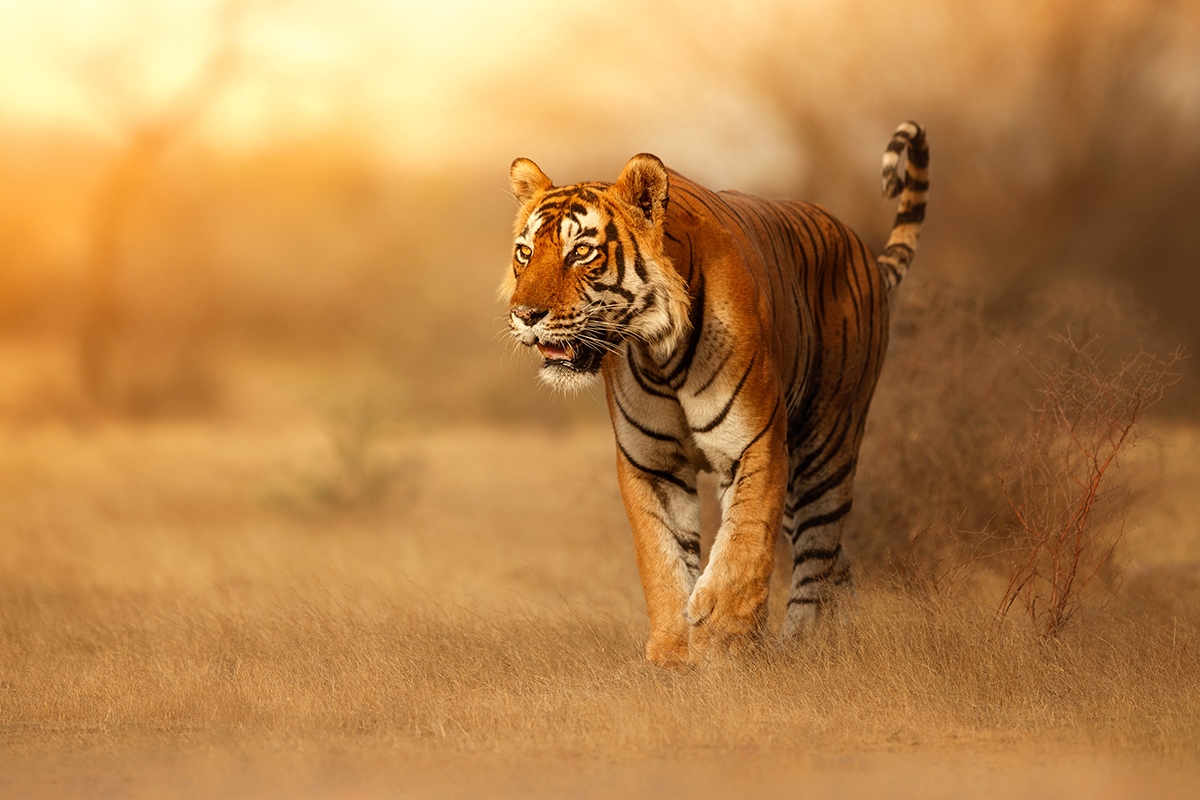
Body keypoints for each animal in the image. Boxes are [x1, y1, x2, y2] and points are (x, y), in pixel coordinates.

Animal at [496, 122, 926, 666]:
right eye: (525, 253)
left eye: (581, 252)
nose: (524, 315)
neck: (660, 352)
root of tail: (861, 249)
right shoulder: (651, 463)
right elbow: (662, 559)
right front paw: (672, 654)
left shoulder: (755, 444)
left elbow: (742, 547)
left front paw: (722, 645)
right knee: (835, 562)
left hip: (826, 445)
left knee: (817, 551)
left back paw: (802, 645)